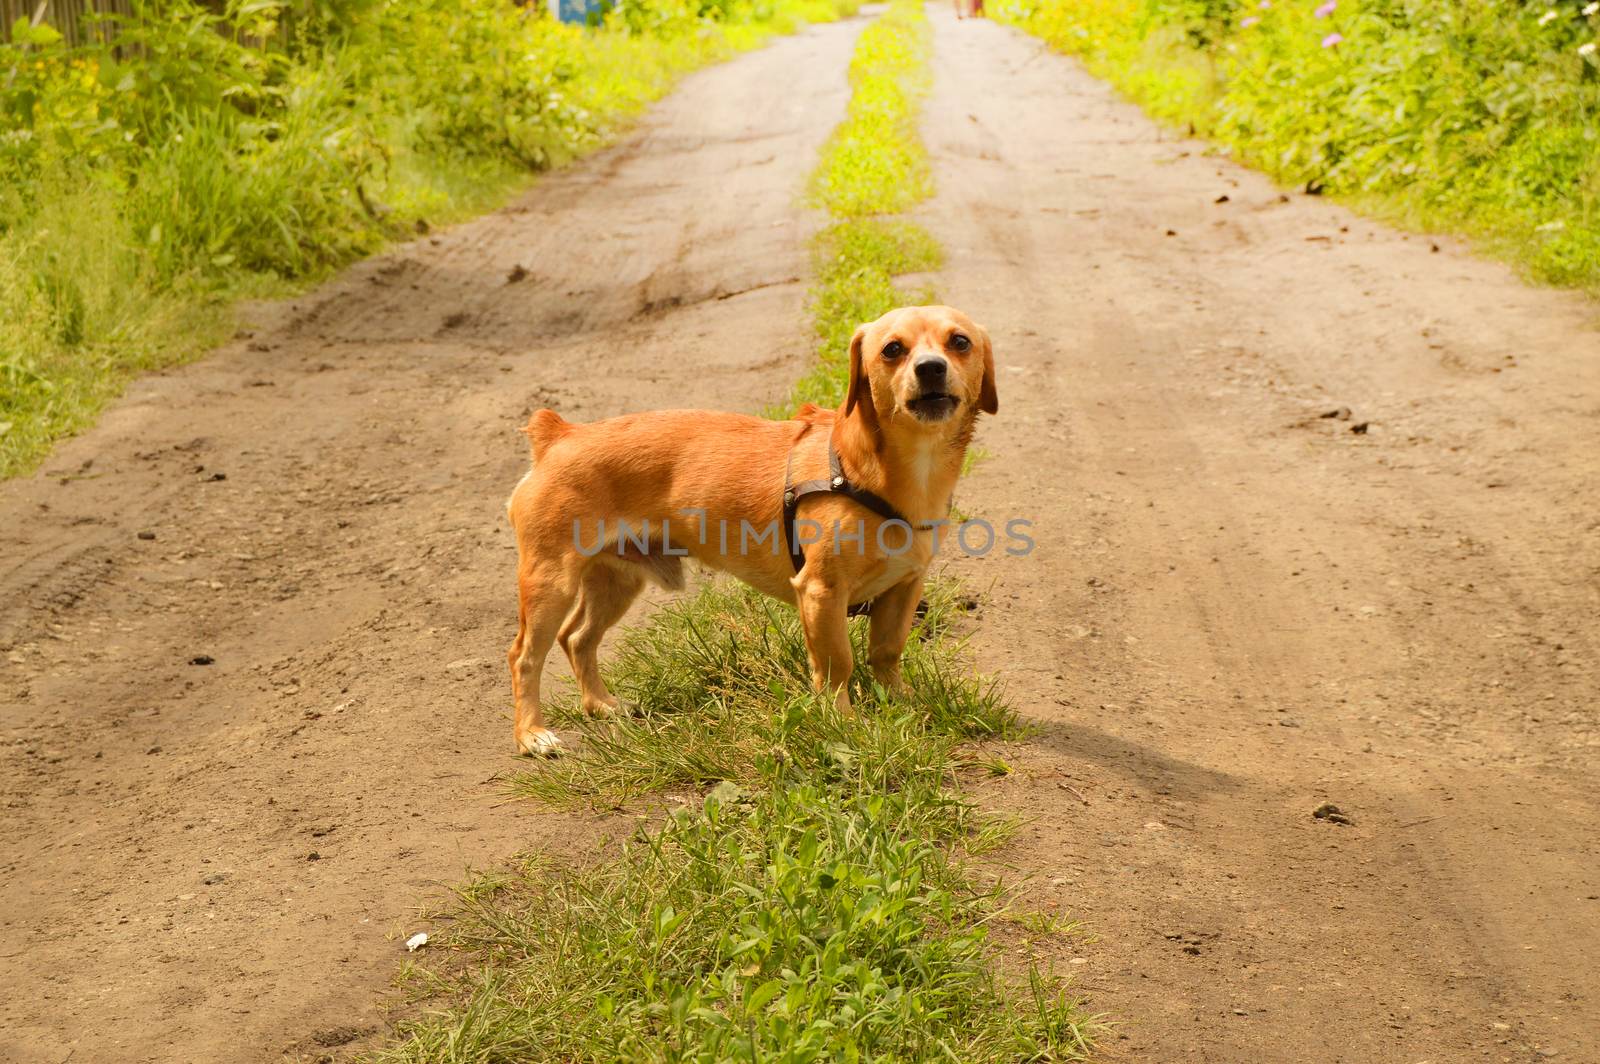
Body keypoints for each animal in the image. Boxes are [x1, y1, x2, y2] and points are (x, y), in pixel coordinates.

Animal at [505, 305, 992, 755]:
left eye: (960, 342)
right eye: (893, 349)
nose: (931, 367)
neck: (874, 470)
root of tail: (559, 435)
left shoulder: (904, 587)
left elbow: (887, 653)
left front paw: (899, 702)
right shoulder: (821, 593)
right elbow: (837, 663)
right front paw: (842, 721)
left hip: (616, 582)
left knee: (577, 638)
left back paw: (601, 704)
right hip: (551, 583)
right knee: (525, 656)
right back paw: (532, 735)